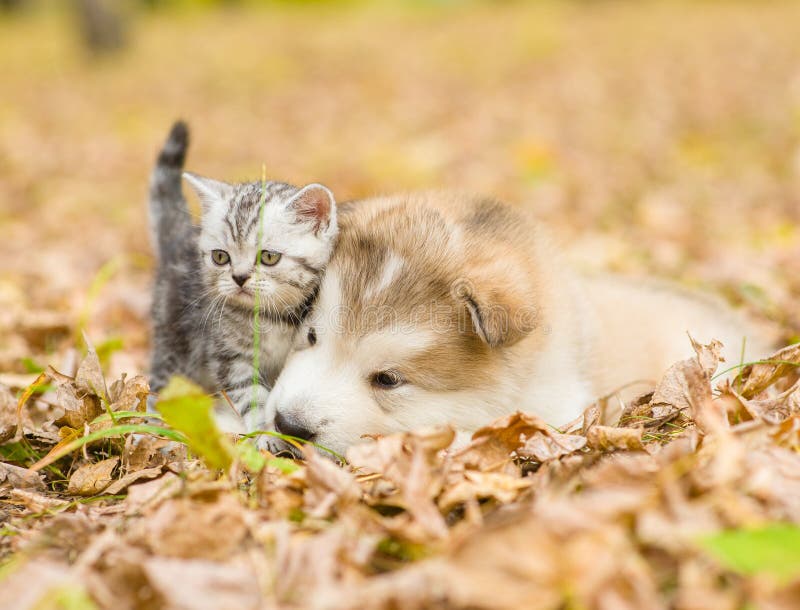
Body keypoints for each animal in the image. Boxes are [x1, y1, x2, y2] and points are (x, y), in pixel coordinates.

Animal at [148, 120, 338, 432]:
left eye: (269, 257)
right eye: (220, 257)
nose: (238, 277)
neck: (273, 319)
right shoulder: (229, 356)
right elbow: (251, 397)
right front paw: (263, 434)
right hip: (174, 338)